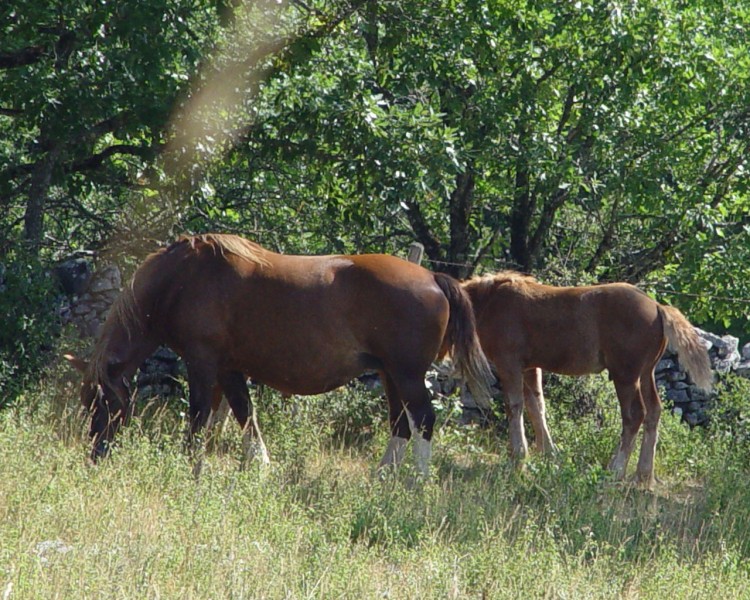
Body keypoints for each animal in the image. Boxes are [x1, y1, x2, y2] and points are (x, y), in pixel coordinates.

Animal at [66, 234, 500, 474]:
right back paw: (383, 480)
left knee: (423, 420)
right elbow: (243, 414)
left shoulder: (203, 362)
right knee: (401, 425)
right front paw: (255, 464)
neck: (182, 279)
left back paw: (417, 484)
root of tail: (433, 277)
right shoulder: (228, 369)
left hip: (407, 375)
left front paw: (191, 465)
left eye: (101, 403)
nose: (94, 455)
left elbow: (200, 417)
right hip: (392, 375)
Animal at [464, 272, 716, 488]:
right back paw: (643, 475)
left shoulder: (509, 364)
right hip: (646, 374)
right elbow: (537, 406)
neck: (492, 301)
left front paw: (518, 458)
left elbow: (515, 406)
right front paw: (549, 454)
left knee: (635, 414)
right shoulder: (530, 367)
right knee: (654, 411)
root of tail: (657, 306)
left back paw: (615, 470)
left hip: (626, 376)